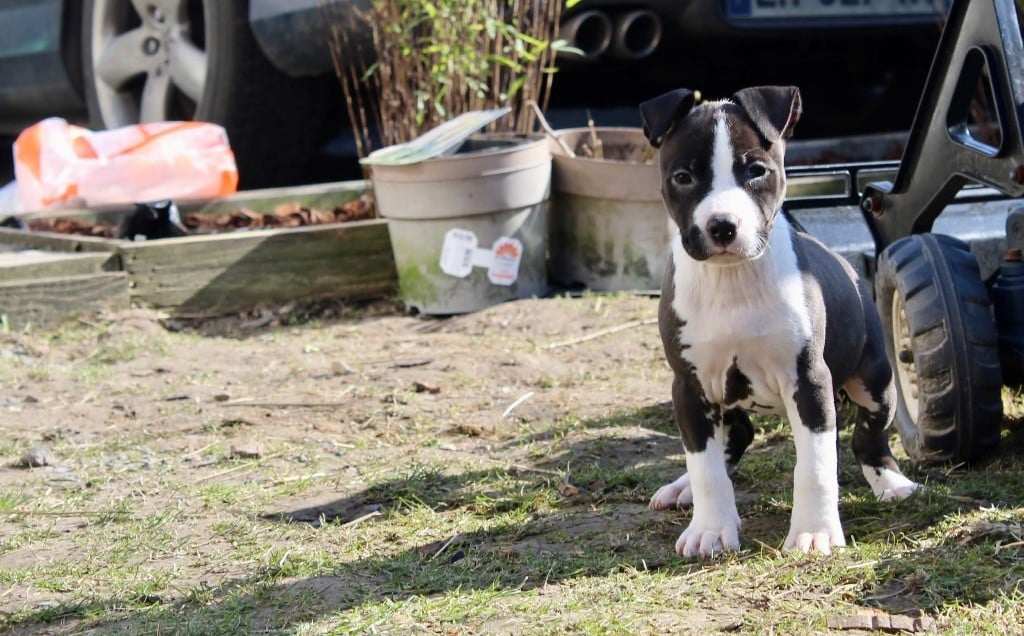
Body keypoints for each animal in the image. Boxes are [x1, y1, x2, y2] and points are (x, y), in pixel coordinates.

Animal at [638, 85, 921, 557]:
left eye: (756, 171)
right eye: (683, 178)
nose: (722, 226)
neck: (732, 280)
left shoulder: (809, 380)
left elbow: (815, 467)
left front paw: (814, 532)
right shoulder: (690, 387)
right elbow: (705, 467)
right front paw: (710, 529)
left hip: (875, 381)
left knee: (868, 436)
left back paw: (891, 483)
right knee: (734, 438)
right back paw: (683, 488)